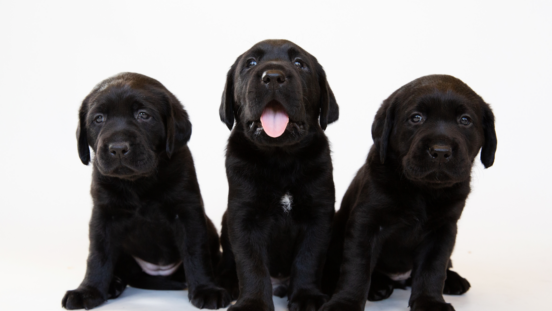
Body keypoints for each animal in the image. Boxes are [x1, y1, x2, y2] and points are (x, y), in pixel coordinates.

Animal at [62, 72, 231, 310]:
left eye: (143, 115)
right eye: (99, 119)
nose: (118, 148)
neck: (138, 183)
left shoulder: (188, 212)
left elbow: (196, 251)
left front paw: (206, 289)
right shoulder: (103, 215)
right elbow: (98, 255)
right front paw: (89, 290)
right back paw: (113, 285)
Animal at [217, 39, 338, 311]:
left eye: (300, 64)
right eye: (250, 63)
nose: (272, 77)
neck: (280, 158)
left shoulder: (319, 215)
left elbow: (309, 259)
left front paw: (306, 296)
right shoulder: (244, 218)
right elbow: (251, 264)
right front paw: (252, 303)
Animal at [320, 75, 496, 311]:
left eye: (465, 120)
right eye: (416, 118)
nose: (441, 151)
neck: (422, 190)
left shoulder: (443, 230)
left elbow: (433, 269)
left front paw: (430, 302)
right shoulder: (366, 223)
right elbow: (356, 268)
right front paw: (344, 303)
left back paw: (454, 280)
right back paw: (378, 287)